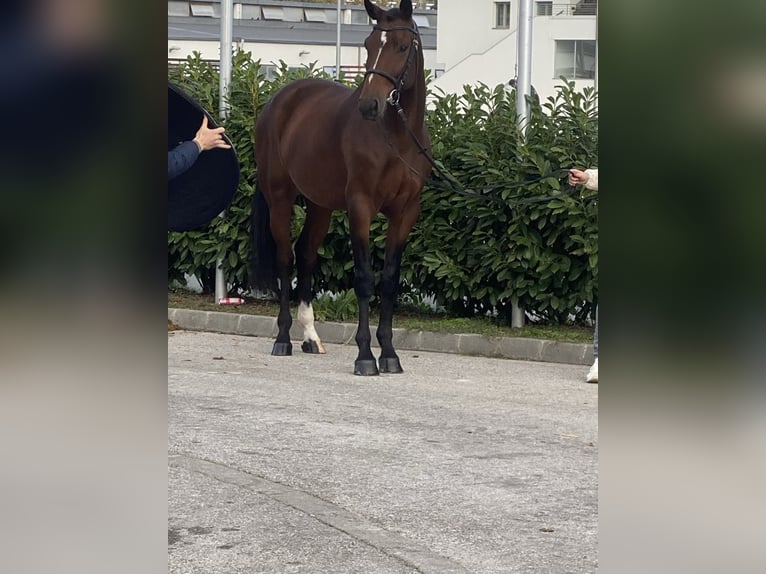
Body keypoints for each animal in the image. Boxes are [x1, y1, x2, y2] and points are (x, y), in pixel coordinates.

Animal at [252, 0, 432, 378]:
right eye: (368, 44)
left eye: (401, 47)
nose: (369, 105)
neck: (395, 139)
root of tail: (280, 100)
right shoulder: (360, 206)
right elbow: (364, 278)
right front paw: (365, 356)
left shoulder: (405, 212)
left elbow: (390, 280)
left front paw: (389, 354)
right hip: (280, 198)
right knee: (285, 258)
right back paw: (283, 339)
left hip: (320, 206)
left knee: (306, 254)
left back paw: (310, 337)